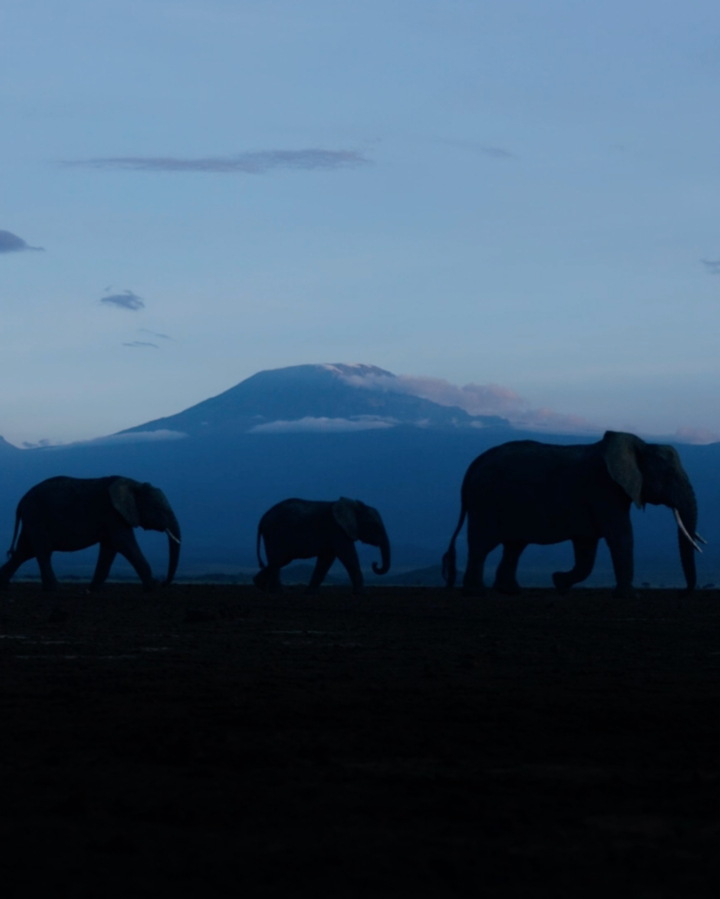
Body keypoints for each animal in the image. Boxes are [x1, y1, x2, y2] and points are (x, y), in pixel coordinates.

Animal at [0, 476, 181, 592]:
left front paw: (93, 589)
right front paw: (153, 587)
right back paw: (57, 589)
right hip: (36, 517)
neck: (134, 484)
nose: (165, 583)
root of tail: (22, 500)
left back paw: (6, 586)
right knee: (42, 552)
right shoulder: (112, 514)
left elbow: (110, 548)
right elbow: (124, 544)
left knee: (24, 552)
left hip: (32, 521)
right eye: (159, 509)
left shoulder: (114, 518)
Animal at [253, 497, 391, 594]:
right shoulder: (338, 530)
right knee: (277, 561)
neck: (352, 506)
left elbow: (326, 559)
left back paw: (261, 586)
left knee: (279, 561)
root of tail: (262, 519)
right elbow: (348, 556)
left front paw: (310, 593)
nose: (375, 563)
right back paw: (278, 593)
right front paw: (361, 593)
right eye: (376, 526)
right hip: (274, 534)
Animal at [442, 431, 703, 598]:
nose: (684, 592)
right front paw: (630, 596)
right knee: (482, 545)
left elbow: (587, 549)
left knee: (514, 547)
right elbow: (620, 537)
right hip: (485, 501)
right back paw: (477, 592)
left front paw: (559, 582)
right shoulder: (603, 490)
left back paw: (511, 591)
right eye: (669, 475)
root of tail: (473, 465)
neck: (639, 445)